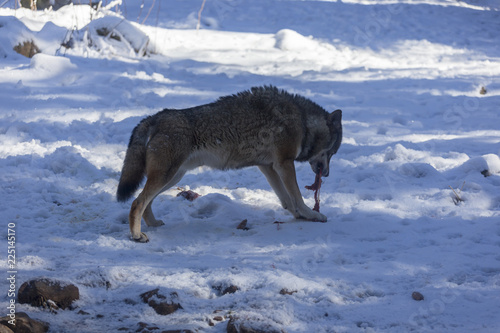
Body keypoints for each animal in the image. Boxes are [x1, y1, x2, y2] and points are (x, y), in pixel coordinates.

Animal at [118, 85, 344, 241]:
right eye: (332, 152)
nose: (326, 174)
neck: (303, 121)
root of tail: (156, 116)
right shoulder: (284, 164)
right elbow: (297, 197)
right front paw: (311, 214)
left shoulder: (268, 166)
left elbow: (287, 200)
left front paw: (299, 216)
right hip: (167, 176)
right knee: (138, 202)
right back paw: (137, 236)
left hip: (173, 177)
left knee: (144, 201)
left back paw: (153, 224)